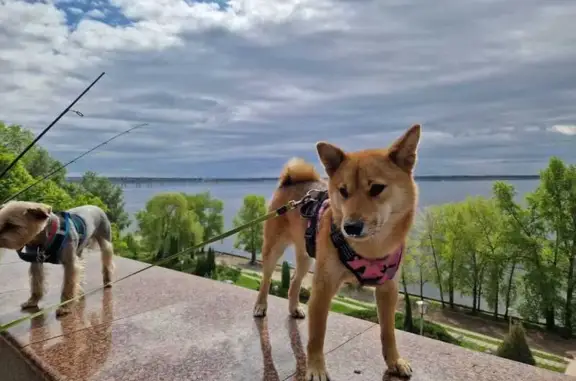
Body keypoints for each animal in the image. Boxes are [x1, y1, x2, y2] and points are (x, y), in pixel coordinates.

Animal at [254, 124, 420, 378]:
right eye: (343, 191)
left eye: (377, 188)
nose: (350, 227)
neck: (371, 249)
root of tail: (290, 180)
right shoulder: (324, 286)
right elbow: (316, 334)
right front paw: (315, 368)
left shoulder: (388, 288)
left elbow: (388, 331)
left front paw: (395, 361)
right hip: (273, 249)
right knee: (265, 280)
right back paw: (261, 306)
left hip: (307, 257)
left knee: (294, 281)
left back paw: (294, 308)